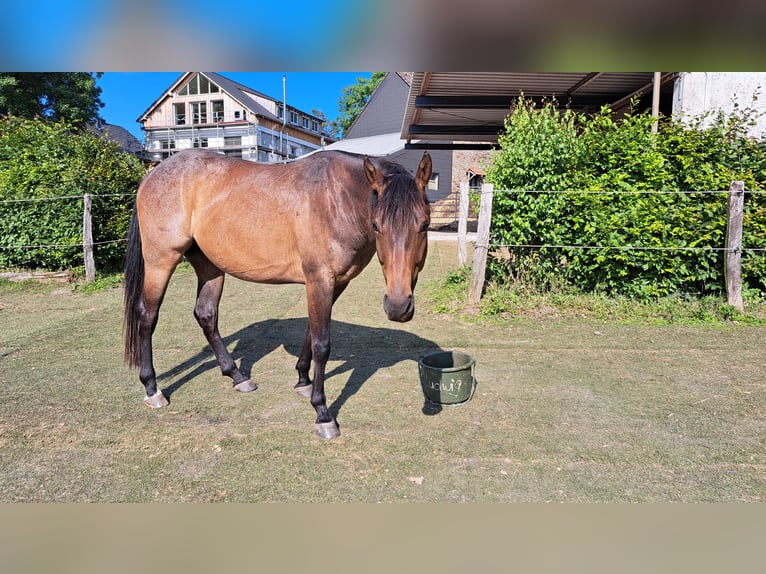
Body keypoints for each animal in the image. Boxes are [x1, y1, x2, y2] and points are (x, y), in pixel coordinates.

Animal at [123, 148, 432, 438]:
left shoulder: (333, 283)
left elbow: (311, 332)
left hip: (209, 266)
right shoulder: (320, 279)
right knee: (147, 316)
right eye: (377, 225)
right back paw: (152, 388)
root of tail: (152, 175)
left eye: (424, 224)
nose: (397, 305)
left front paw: (303, 381)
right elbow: (322, 343)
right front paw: (322, 412)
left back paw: (237, 376)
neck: (337, 198)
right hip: (161, 261)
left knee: (206, 315)